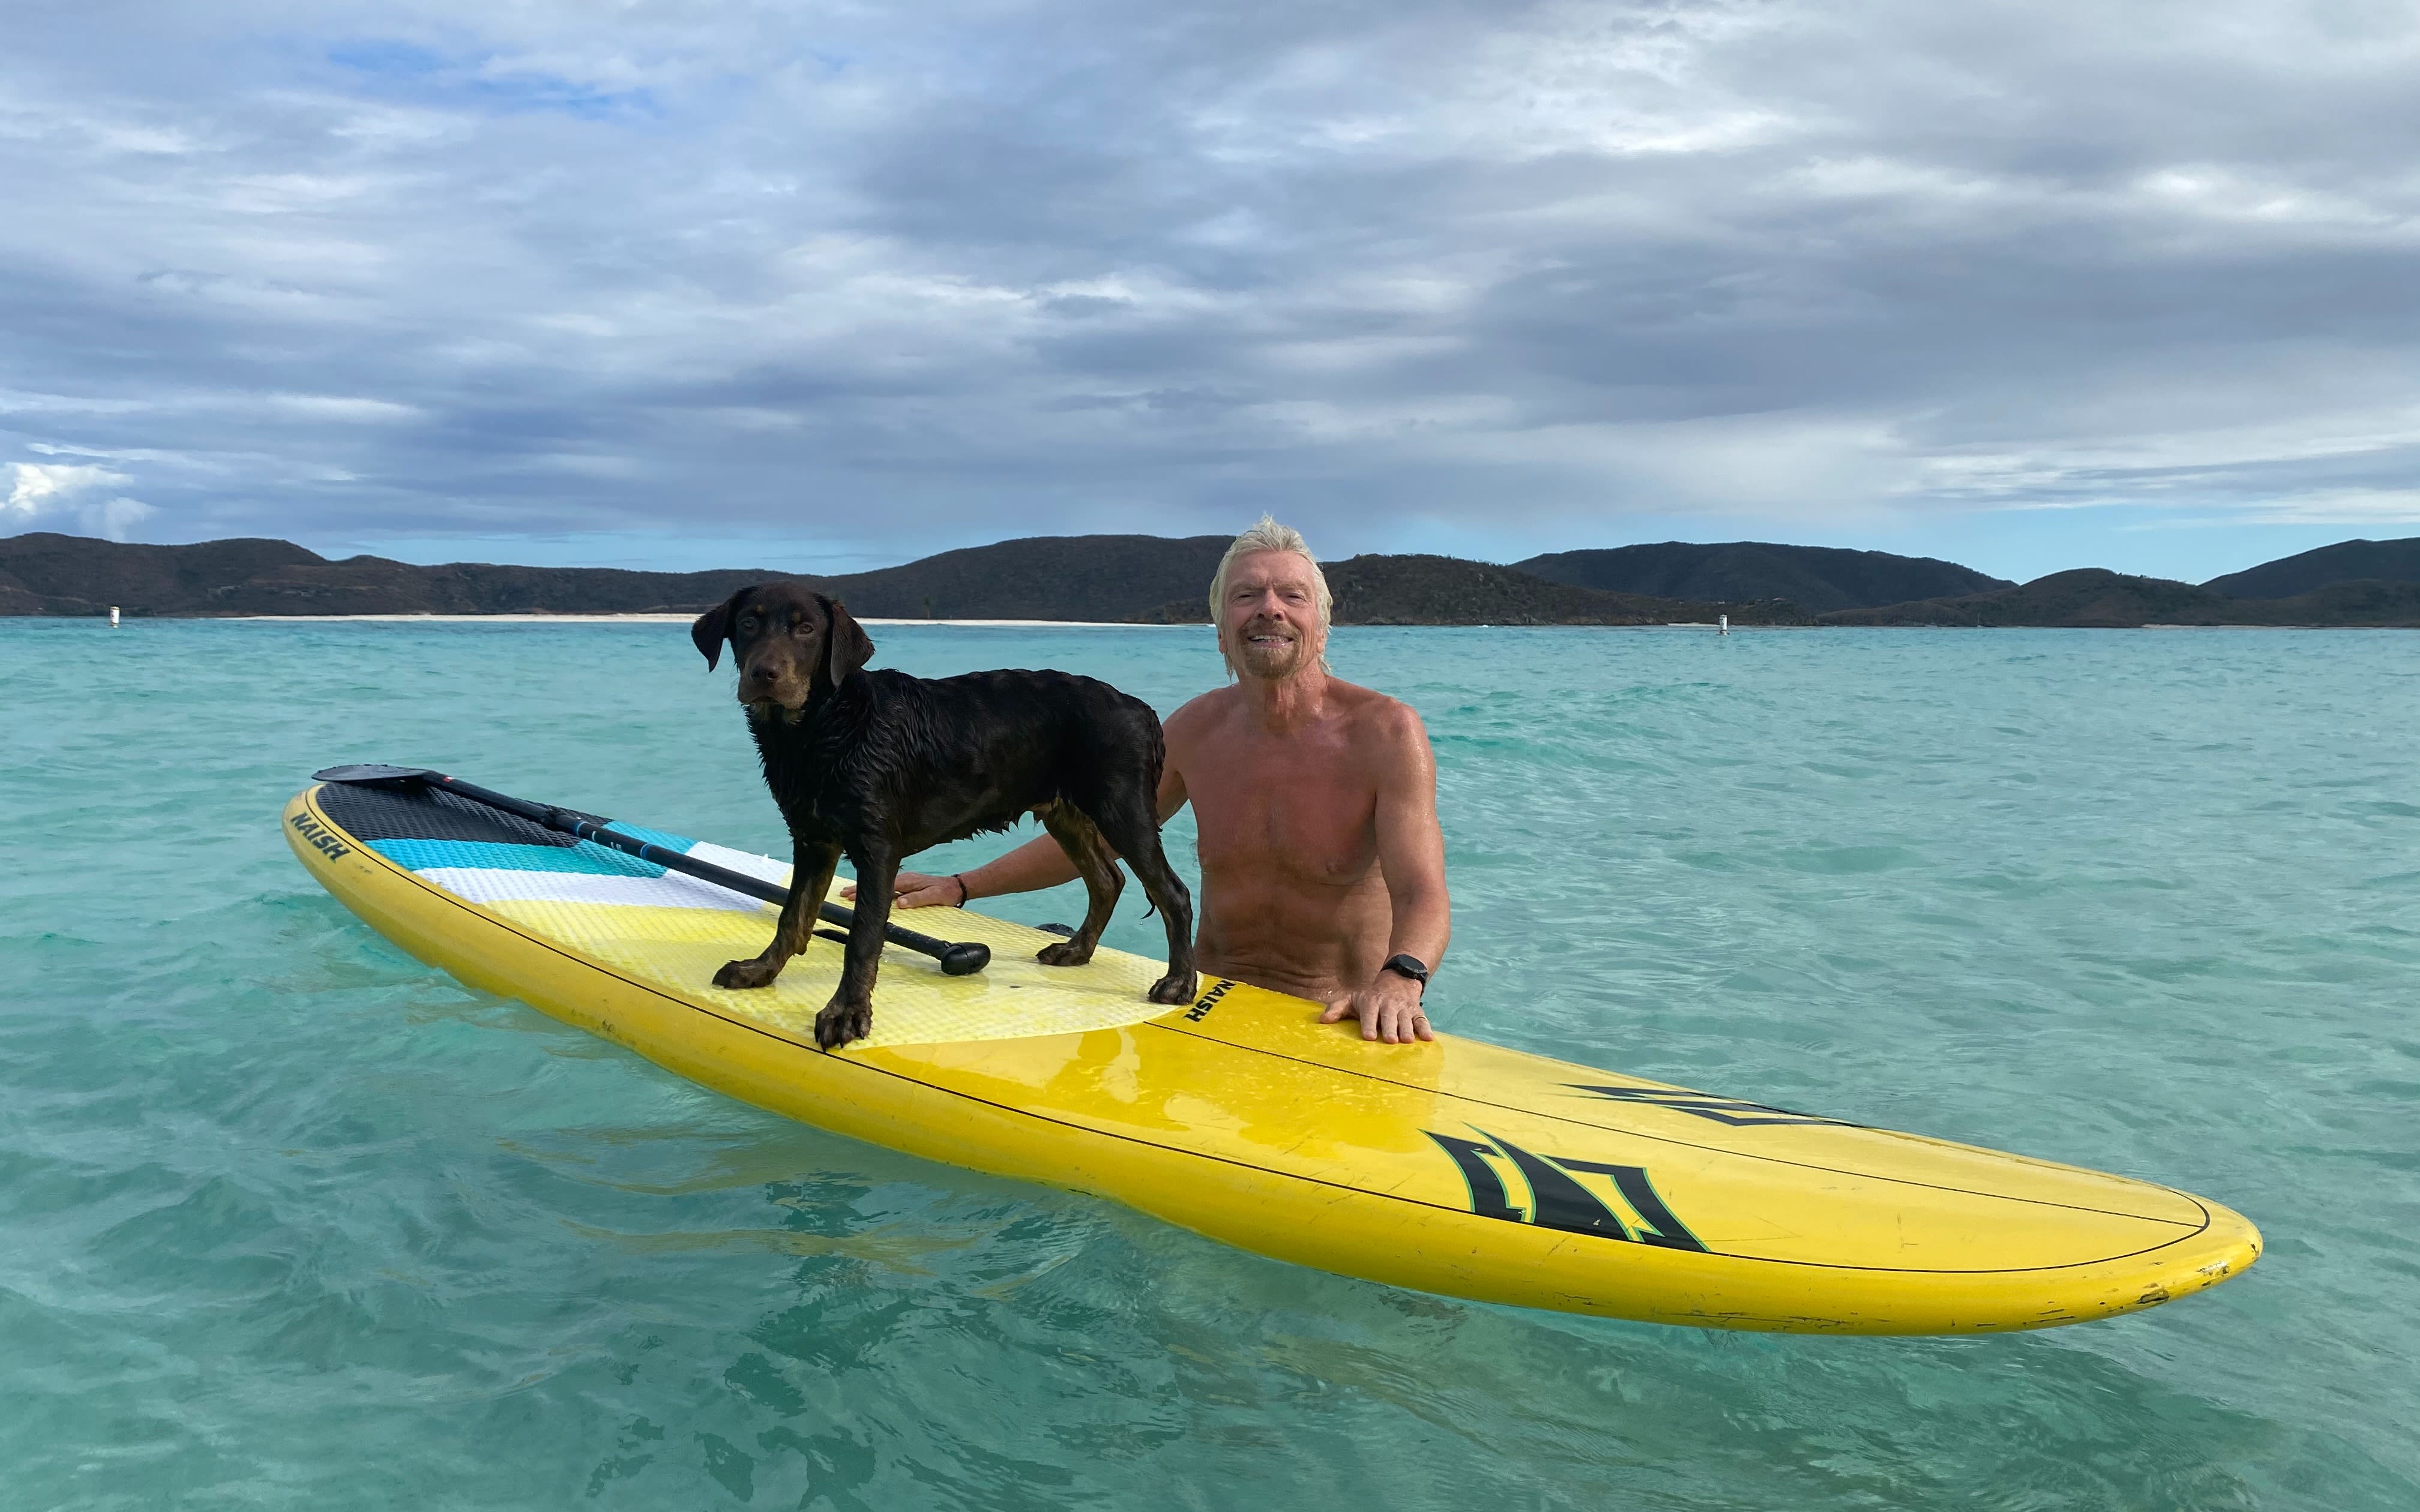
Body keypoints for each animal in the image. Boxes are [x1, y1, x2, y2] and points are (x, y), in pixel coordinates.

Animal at [692, 580, 1200, 1049]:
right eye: (748, 624)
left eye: (807, 630)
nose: (765, 674)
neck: (823, 729)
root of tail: (1143, 710)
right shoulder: (813, 839)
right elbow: (793, 916)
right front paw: (760, 970)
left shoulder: (877, 848)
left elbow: (862, 938)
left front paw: (847, 1013)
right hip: (1065, 812)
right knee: (1107, 880)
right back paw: (1077, 949)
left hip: (1122, 808)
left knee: (1172, 892)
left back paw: (1179, 983)